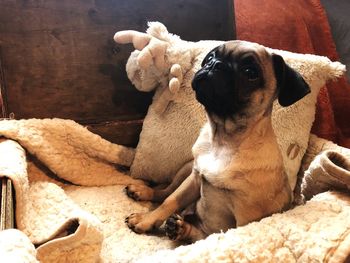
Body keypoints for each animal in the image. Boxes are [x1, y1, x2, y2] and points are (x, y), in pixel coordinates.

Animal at [124, 40, 310, 242]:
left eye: (250, 72)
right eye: (211, 57)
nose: (215, 64)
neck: (223, 140)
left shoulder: (245, 219)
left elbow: (215, 238)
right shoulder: (194, 178)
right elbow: (170, 200)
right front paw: (146, 219)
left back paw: (180, 228)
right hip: (187, 168)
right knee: (165, 191)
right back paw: (143, 192)